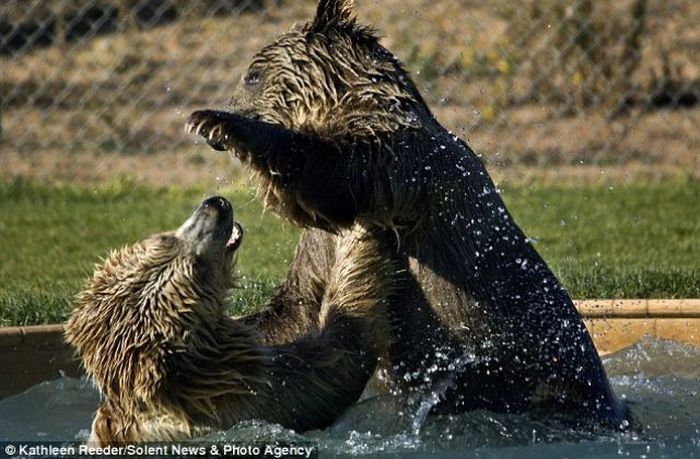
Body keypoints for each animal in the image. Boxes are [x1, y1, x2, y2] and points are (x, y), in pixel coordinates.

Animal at [189, 0, 632, 432]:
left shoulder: (403, 171)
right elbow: (299, 308)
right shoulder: (324, 242)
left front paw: (216, 121)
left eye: (252, 75)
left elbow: (338, 170)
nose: (217, 128)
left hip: (533, 374)